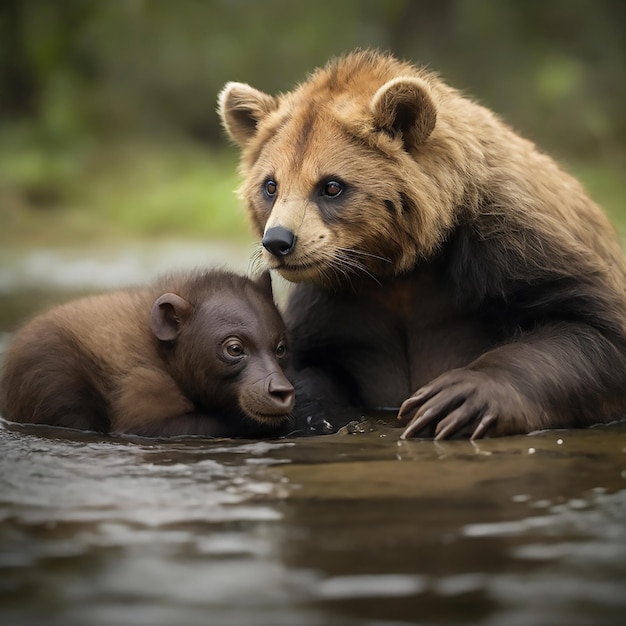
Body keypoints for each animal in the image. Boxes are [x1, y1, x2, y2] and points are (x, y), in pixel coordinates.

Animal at [0, 270, 294, 438]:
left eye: (280, 348)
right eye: (234, 348)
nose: (280, 389)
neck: (164, 354)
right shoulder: (145, 383)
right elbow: (147, 428)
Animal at [217, 48, 624, 438]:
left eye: (331, 186)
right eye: (271, 185)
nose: (279, 242)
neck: (396, 263)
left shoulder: (507, 249)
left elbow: (590, 325)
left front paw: (456, 401)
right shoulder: (334, 302)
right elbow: (307, 360)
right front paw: (312, 413)